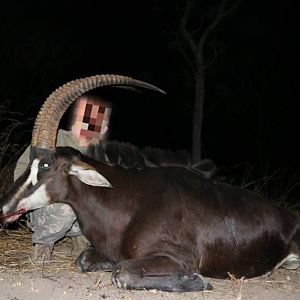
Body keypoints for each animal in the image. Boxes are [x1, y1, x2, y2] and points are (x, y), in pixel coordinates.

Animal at [0, 75, 300, 292]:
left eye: (46, 165)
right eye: (30, 161)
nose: (3, 208)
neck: (131, 202)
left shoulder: (177, 258)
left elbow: (122, 274)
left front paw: (197, 280)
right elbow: (85, 259)